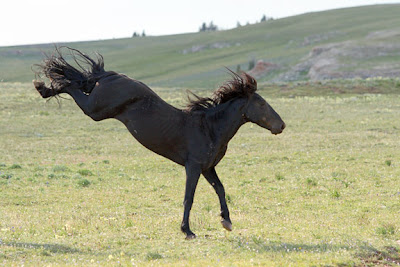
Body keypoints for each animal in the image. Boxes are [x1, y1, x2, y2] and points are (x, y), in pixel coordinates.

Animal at [33, 47, 284, 240]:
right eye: (261, 104)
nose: (281, 125)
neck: (209, 127)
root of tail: (109, 75)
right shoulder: (193, 167)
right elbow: (189, 198)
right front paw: (187, 231)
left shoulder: (207, 168)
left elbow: (221, 189)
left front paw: (227, 222)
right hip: (95, 109)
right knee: (70, 86)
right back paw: (41, 86)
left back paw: (43, 87)